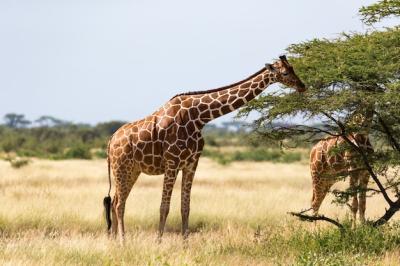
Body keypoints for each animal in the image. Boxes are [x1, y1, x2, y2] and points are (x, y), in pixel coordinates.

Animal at [103, 55, 306, 242]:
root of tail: (110, 140)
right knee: (119, 204)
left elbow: (185, 207)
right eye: (285, 72)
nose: (302, 85)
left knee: (115, 201)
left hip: (132, 170)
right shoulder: (172, 162)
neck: (199, 117)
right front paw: (158, 243)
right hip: (122, 168)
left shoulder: (191, 163)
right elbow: (164, 207)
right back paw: (123, 242)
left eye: (293, 68)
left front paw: (185, 245)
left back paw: (113, 242)